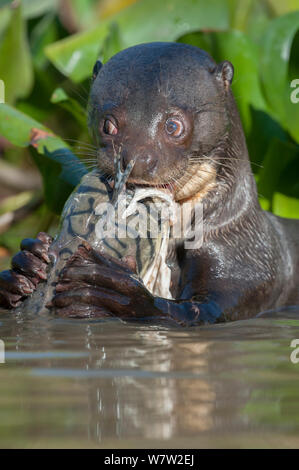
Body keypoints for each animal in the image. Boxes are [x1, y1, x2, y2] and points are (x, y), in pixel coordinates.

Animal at [0, 43, 299, 324]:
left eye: (173, 126)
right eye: (108, 124)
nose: (132, 158)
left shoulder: (247, 265)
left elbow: (201, 311)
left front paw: (114, 290)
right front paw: (25, 267)